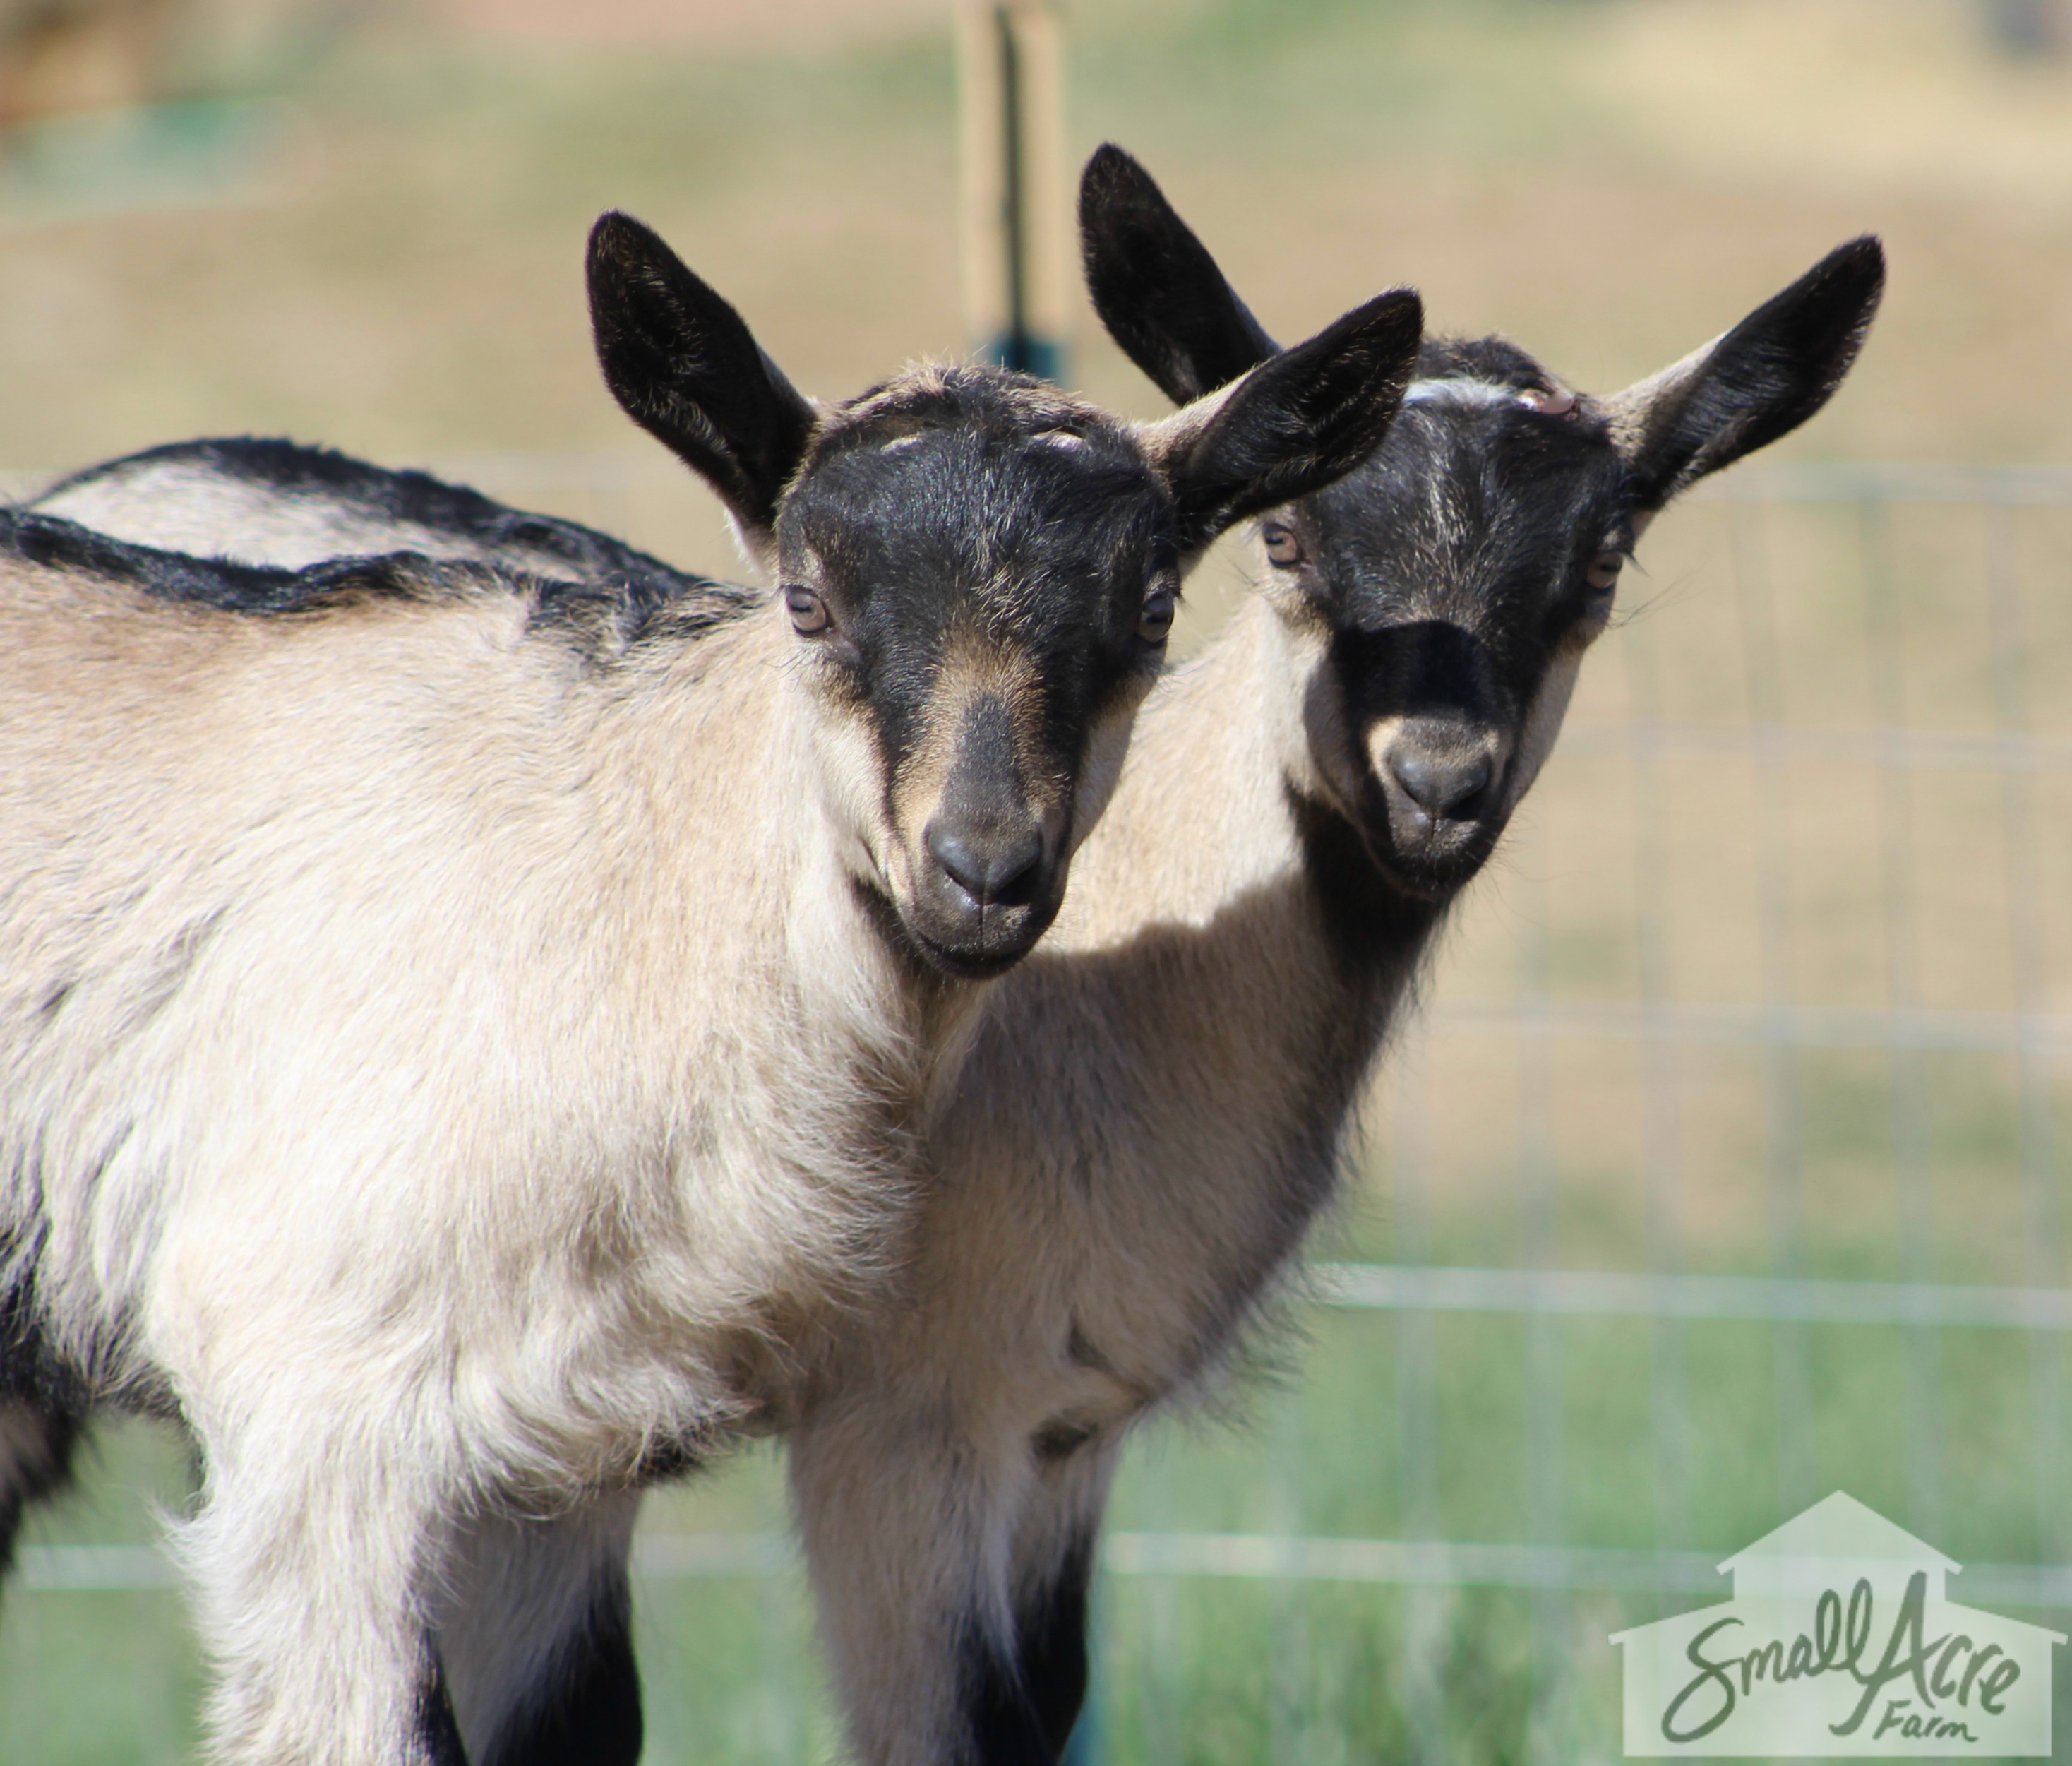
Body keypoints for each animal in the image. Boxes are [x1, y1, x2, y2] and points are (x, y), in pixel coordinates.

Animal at [0, 205, 1426, 1765]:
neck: (626, 877)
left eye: (1155, 607)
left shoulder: (553, 1443)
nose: (984, 867)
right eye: (807, 602)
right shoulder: (311, 1392)